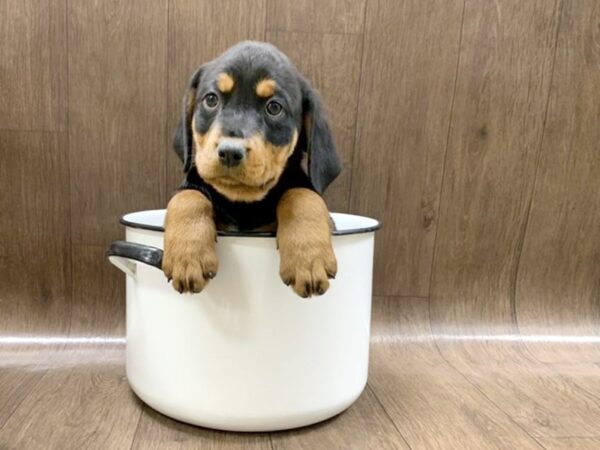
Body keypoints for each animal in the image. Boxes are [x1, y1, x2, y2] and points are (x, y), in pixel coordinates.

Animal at [163, 40, 342, 298]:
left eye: (274, 107)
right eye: (211, 99)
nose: (230, 152)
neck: (243, 204)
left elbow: (302, 195)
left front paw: (308, 259)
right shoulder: (192, 186)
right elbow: (187, 197)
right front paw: (187, 257)